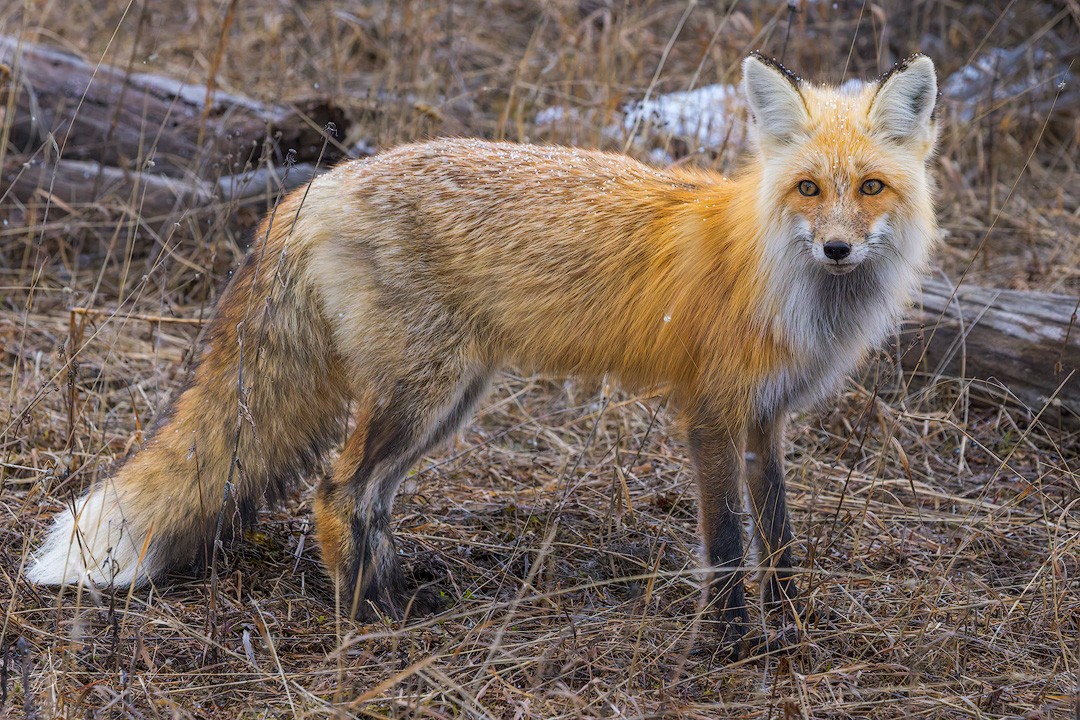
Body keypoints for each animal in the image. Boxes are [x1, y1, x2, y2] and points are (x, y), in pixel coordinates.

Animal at [27, 53, 937, 656]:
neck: (781, 278)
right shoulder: (709, 415)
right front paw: (731, 647)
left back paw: (393, 597)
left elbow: (778, 543)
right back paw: (364, 623)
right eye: (809, 188)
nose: (838, 249)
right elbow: (724, 545)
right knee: (336, 487)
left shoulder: (766, 421)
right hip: (425, 392)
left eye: (871, 188)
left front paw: (792, 632)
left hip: (449, 398)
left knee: (370, 497)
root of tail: (315, 186)